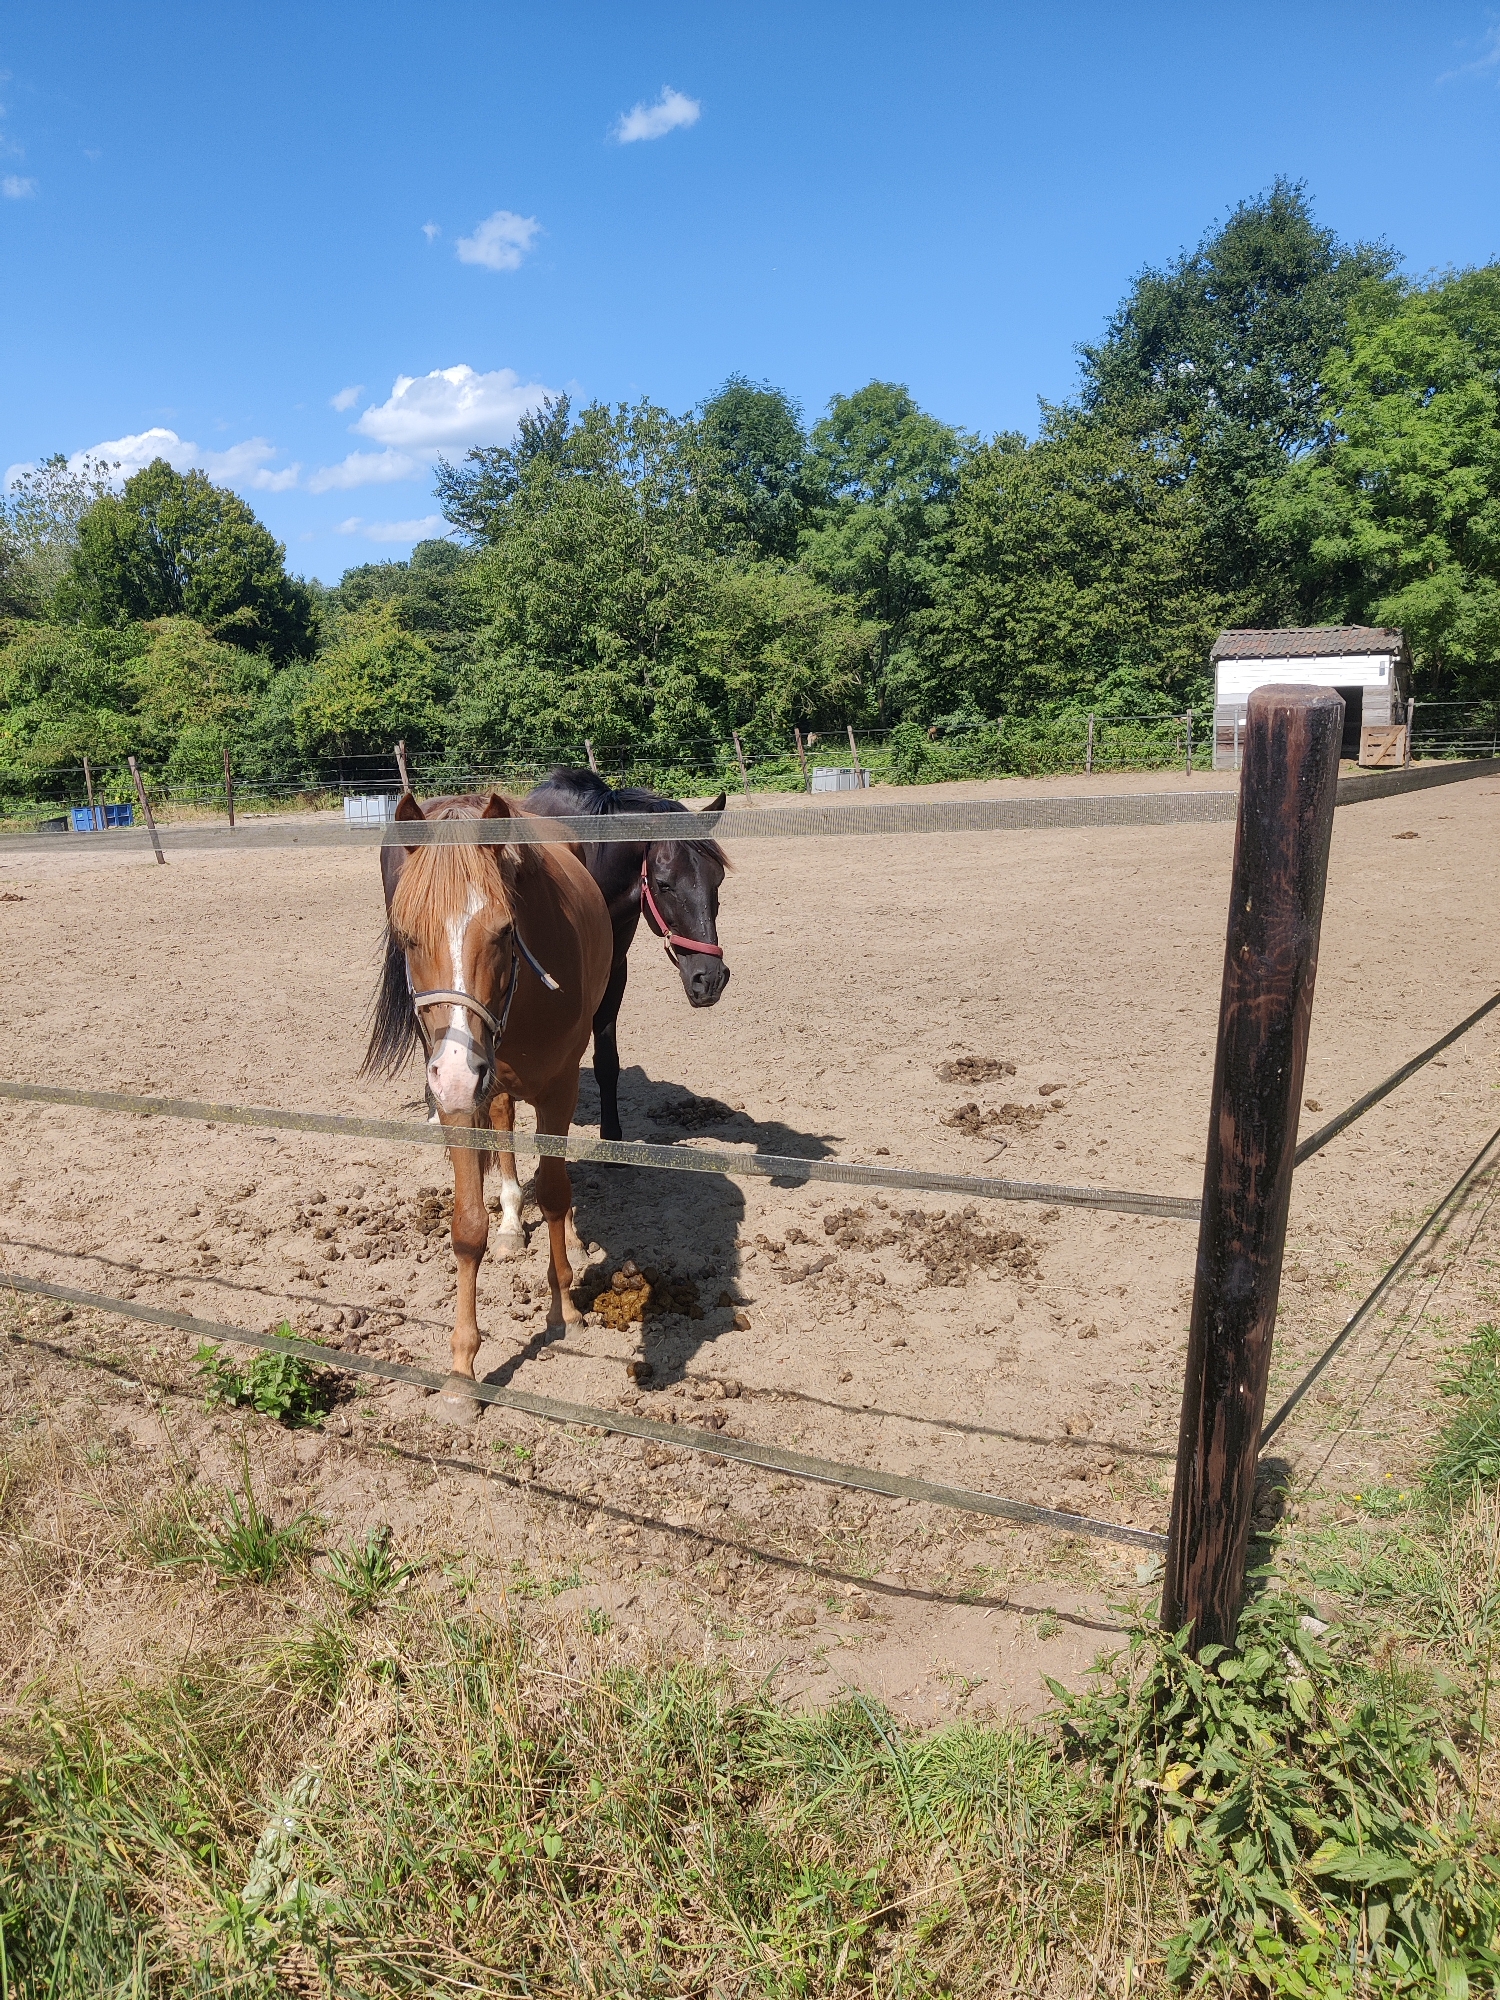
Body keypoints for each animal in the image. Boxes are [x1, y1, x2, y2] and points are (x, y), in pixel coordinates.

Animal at [363, 790, 613, 1416]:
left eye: (504, 931)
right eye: (406, 935)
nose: (456, 1072)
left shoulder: (559, 1089)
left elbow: (555, 1193)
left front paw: (564, 1308)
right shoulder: (460, 1101)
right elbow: (467, 1225)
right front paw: (461, 1369)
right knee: (500, 1127)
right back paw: (509, 1222)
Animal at [522, 767, 731, 1141]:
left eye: (718, 879)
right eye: (663, 883)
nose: (709, 979)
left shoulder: (613, 971)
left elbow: (606, 1060)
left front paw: (612, 1136)